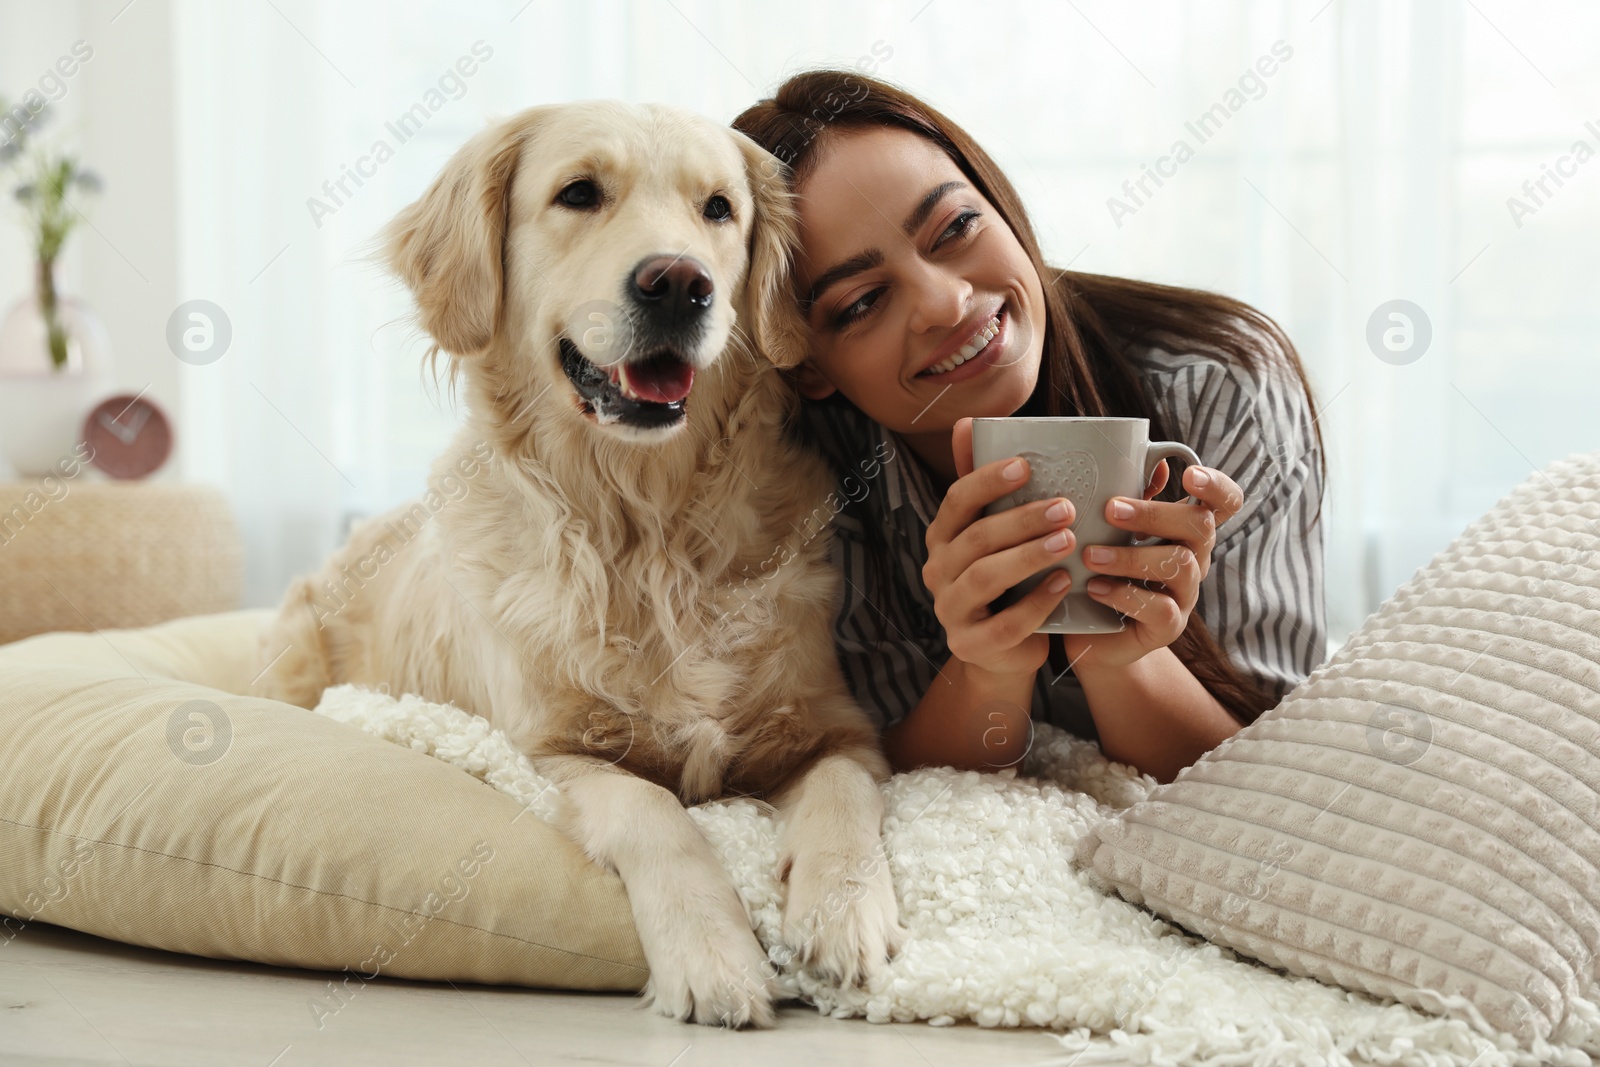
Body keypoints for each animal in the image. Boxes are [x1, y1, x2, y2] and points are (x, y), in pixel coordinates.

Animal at [248, 103, 902, 1030]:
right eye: (580, 193)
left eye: (718, 208)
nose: (680, 283)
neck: (649, 530)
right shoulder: (547, 750)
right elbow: (653, 809)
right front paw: (712, 956)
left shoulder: (838, 727)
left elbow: (845, 793)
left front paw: (842, 915)